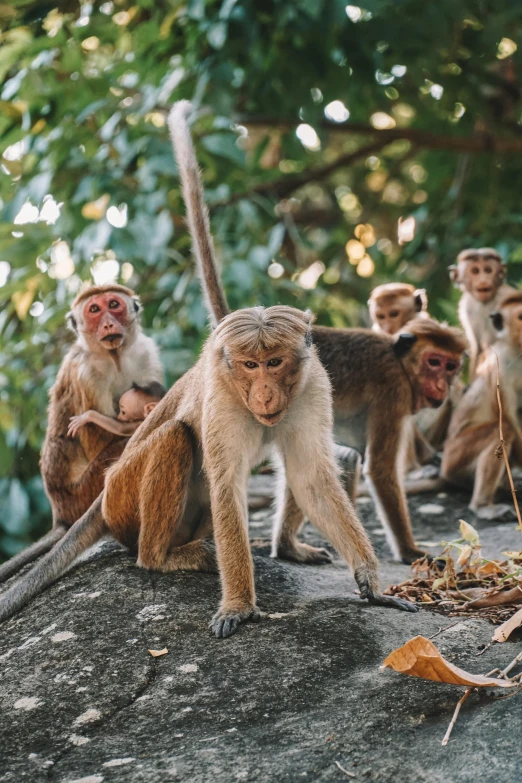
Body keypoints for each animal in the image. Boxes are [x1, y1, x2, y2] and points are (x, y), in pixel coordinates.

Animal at [0, 284, 162, 584]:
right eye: (94, 310)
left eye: (114, 304)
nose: (108, 323)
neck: (114, 357)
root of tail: (61, 514)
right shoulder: (88, 373)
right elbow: (101, 438)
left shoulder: (146, 353)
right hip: (83, 491)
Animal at [448, 247, 512, 378]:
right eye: (475, 271)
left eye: (488, 270)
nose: (483, 280)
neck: (485, 302)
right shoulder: (467, 306)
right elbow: (477, 348)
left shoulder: (505, 296)